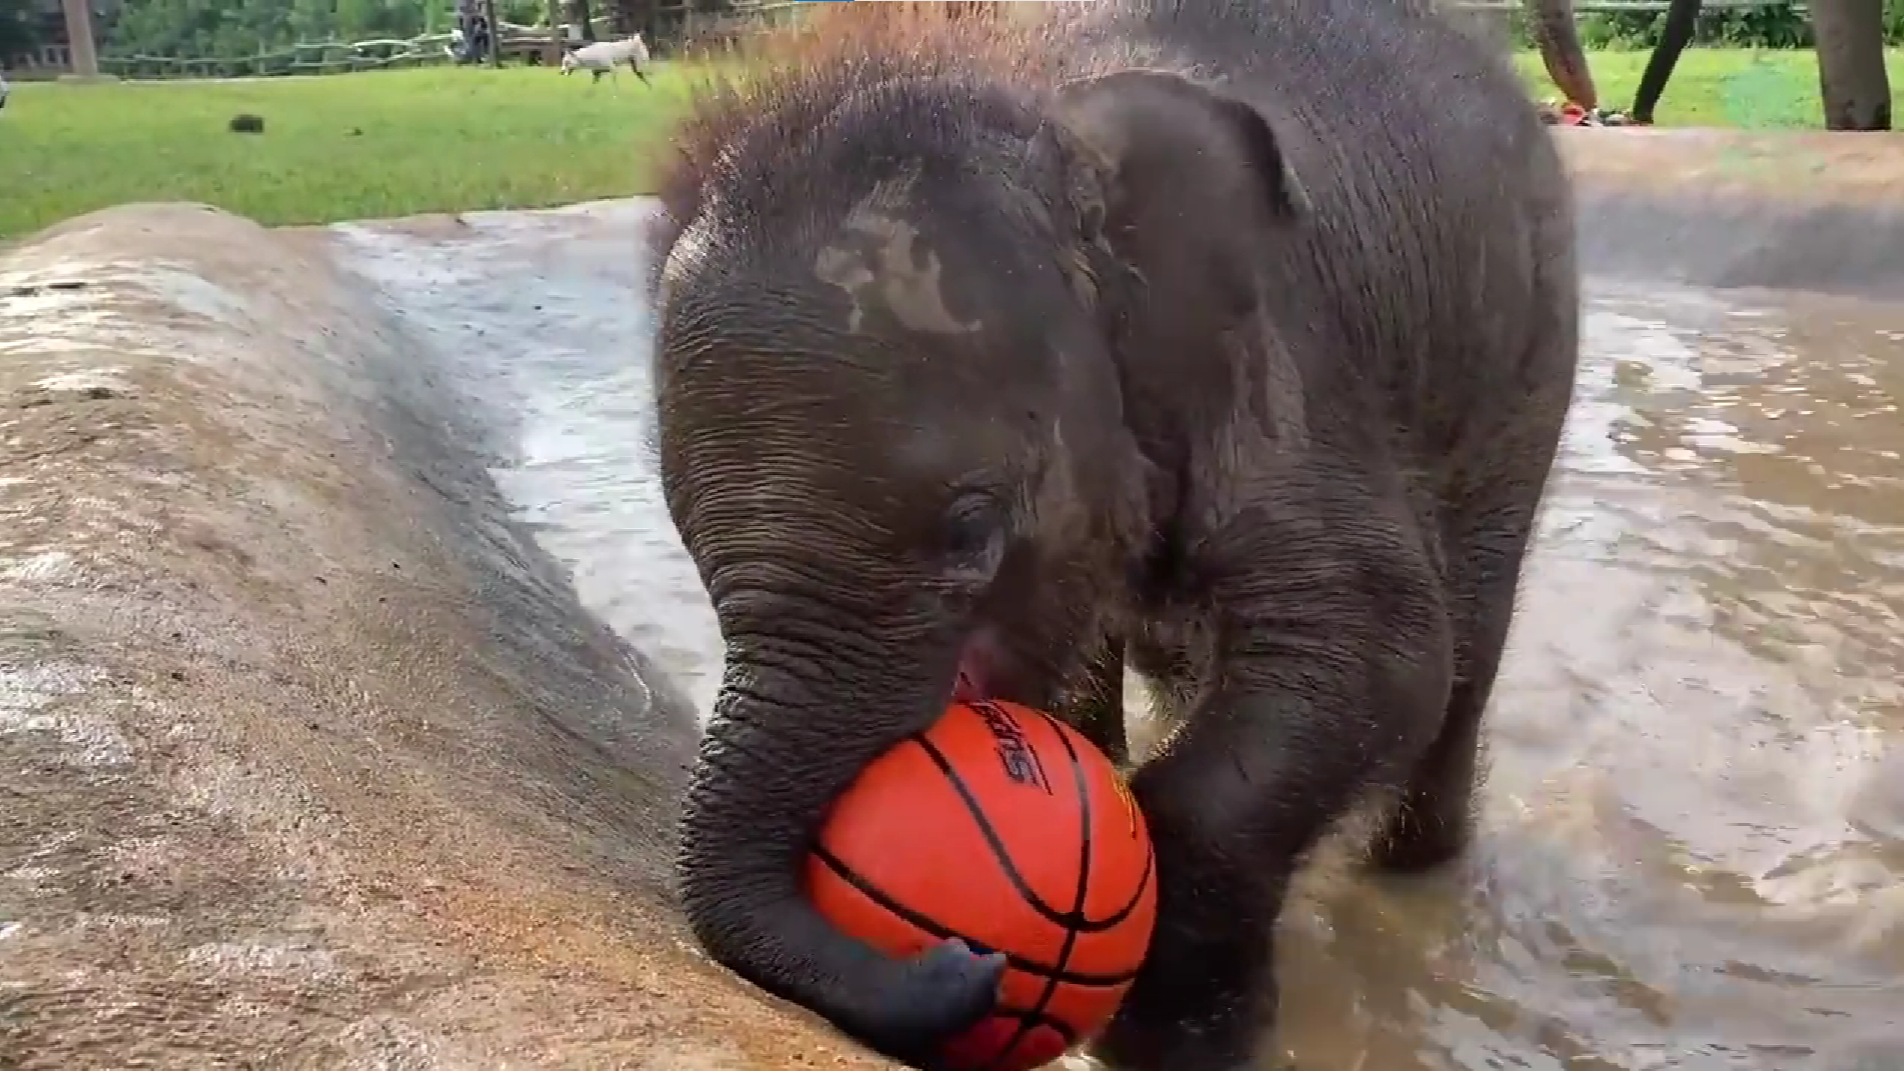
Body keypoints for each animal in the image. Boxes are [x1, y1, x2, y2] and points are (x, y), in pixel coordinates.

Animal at [644, 1, 1579, 1068]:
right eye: (690, 546)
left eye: (972, 531)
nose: (966, 963)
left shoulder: (1287, 357)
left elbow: (1387, 647)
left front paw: (1182, 1041)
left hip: (1527, 356)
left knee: (1468, 634)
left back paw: (1419, 866)